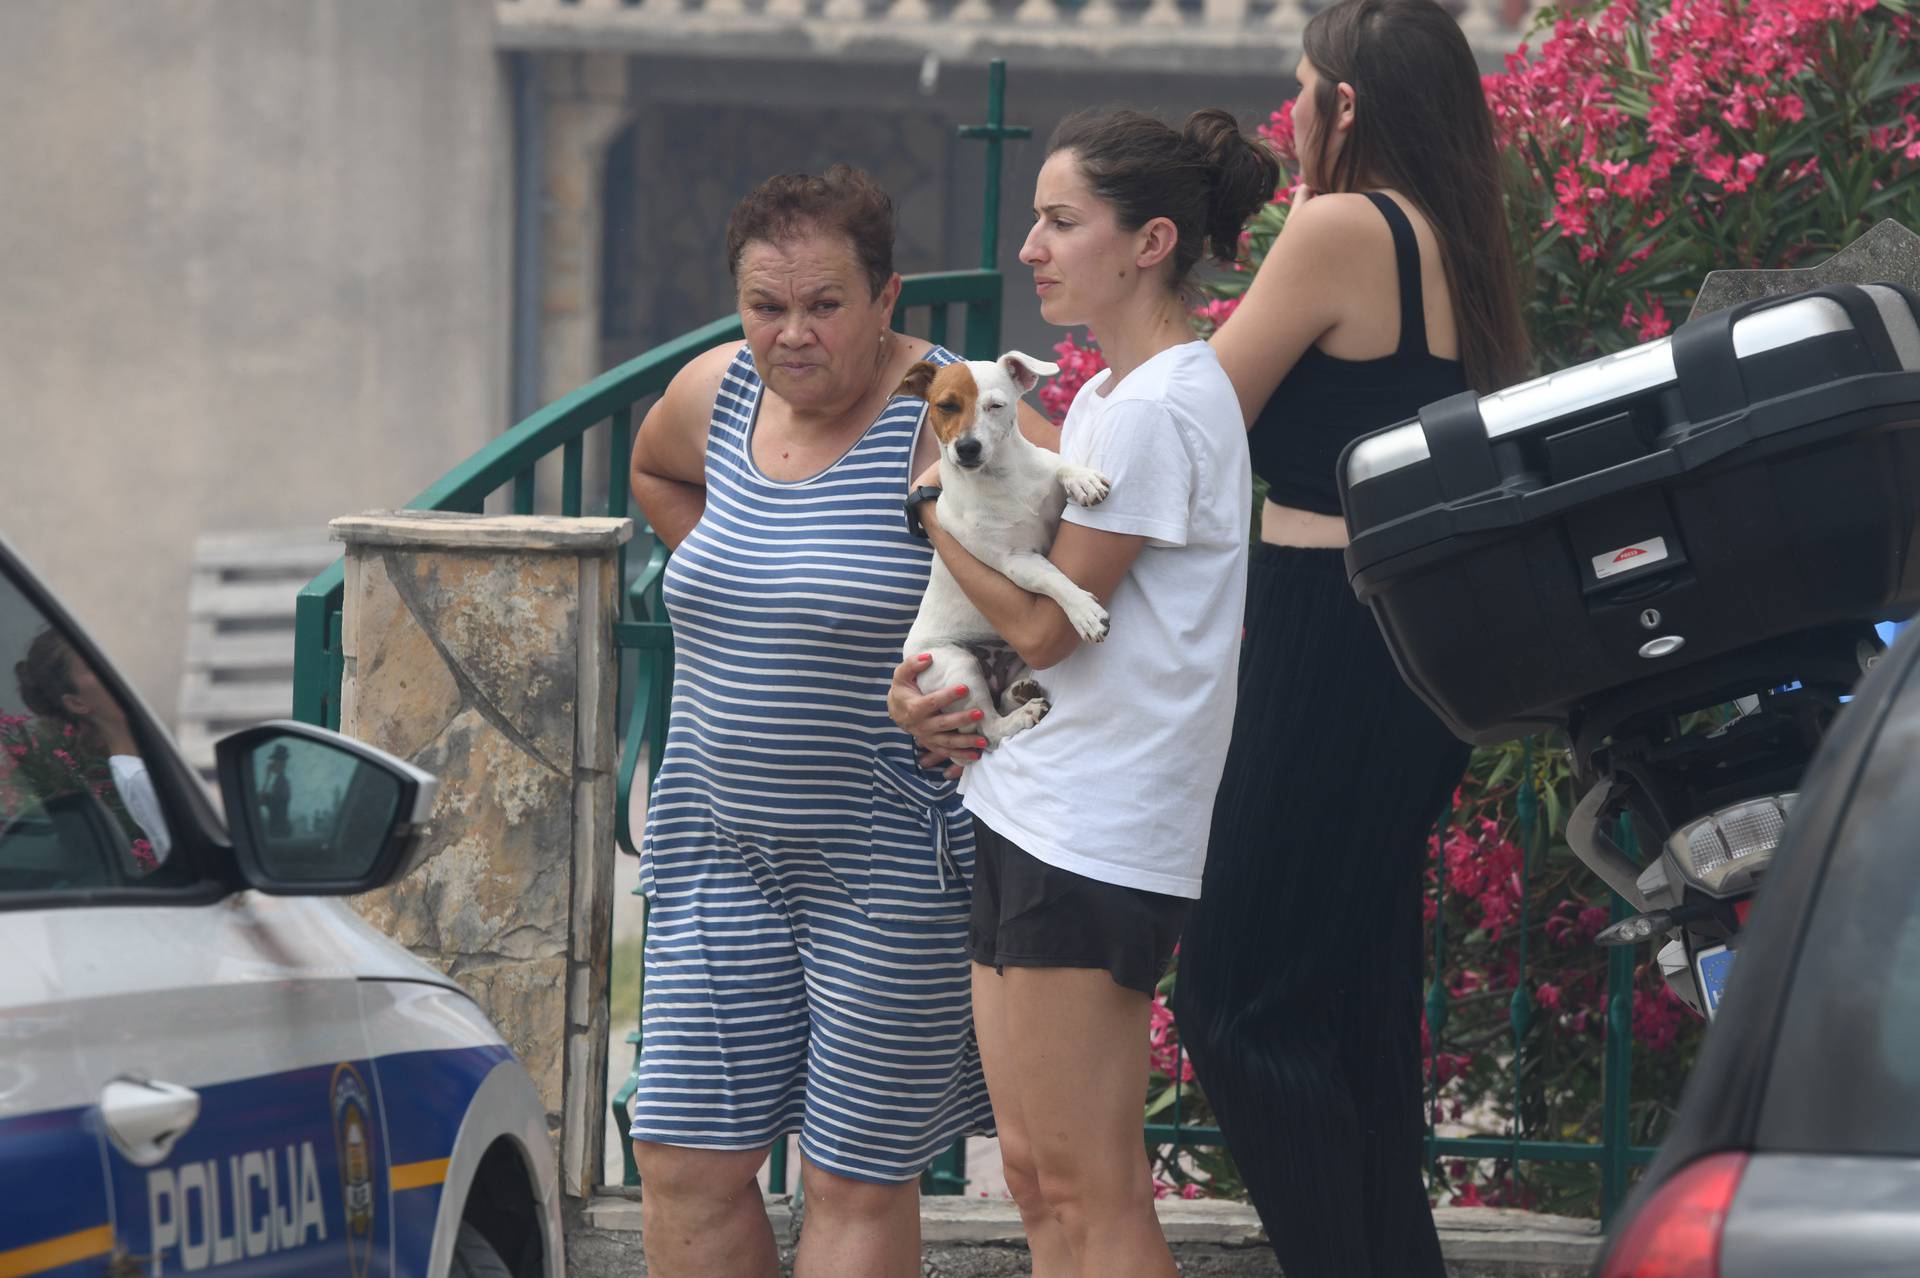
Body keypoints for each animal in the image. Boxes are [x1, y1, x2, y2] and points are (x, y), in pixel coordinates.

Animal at [902, 349, 1121, 748]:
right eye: (946, 406)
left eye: (995, 406)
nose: (967, 447)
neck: (1002, 481)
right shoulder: (1015, 562)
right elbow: (1052, 581)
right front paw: (1083, 612)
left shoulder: (1045, 471)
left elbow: (1059, 465)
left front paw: (1081, 479)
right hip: (957, 666)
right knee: (989, 727)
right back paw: (1022, 713)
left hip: (1018, 656)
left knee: (1002, 697)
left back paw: (1020, 692)